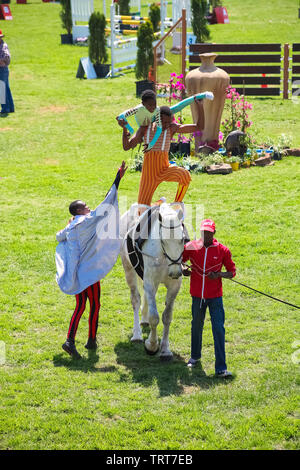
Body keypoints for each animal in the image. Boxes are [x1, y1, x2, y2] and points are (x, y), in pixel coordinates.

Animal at [120, 202, 188, 360]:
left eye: (183, 239)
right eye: (163, 241)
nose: (175, 272)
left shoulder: (174, 286)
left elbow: (167, 317)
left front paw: (165, 350)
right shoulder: (150, 282)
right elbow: (154, 317)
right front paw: (151, 346)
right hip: (129, 270)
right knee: (136, 299)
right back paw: (137, 335)